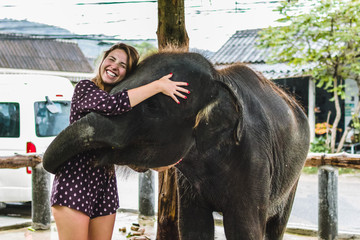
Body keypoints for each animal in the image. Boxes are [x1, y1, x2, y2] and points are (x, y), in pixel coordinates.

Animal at [44, 49, 310, 239]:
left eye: (152, 106)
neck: (218, 78)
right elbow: (193, 227)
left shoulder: (254, 159)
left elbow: (244, 229)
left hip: (292, 178)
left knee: (276, 226)